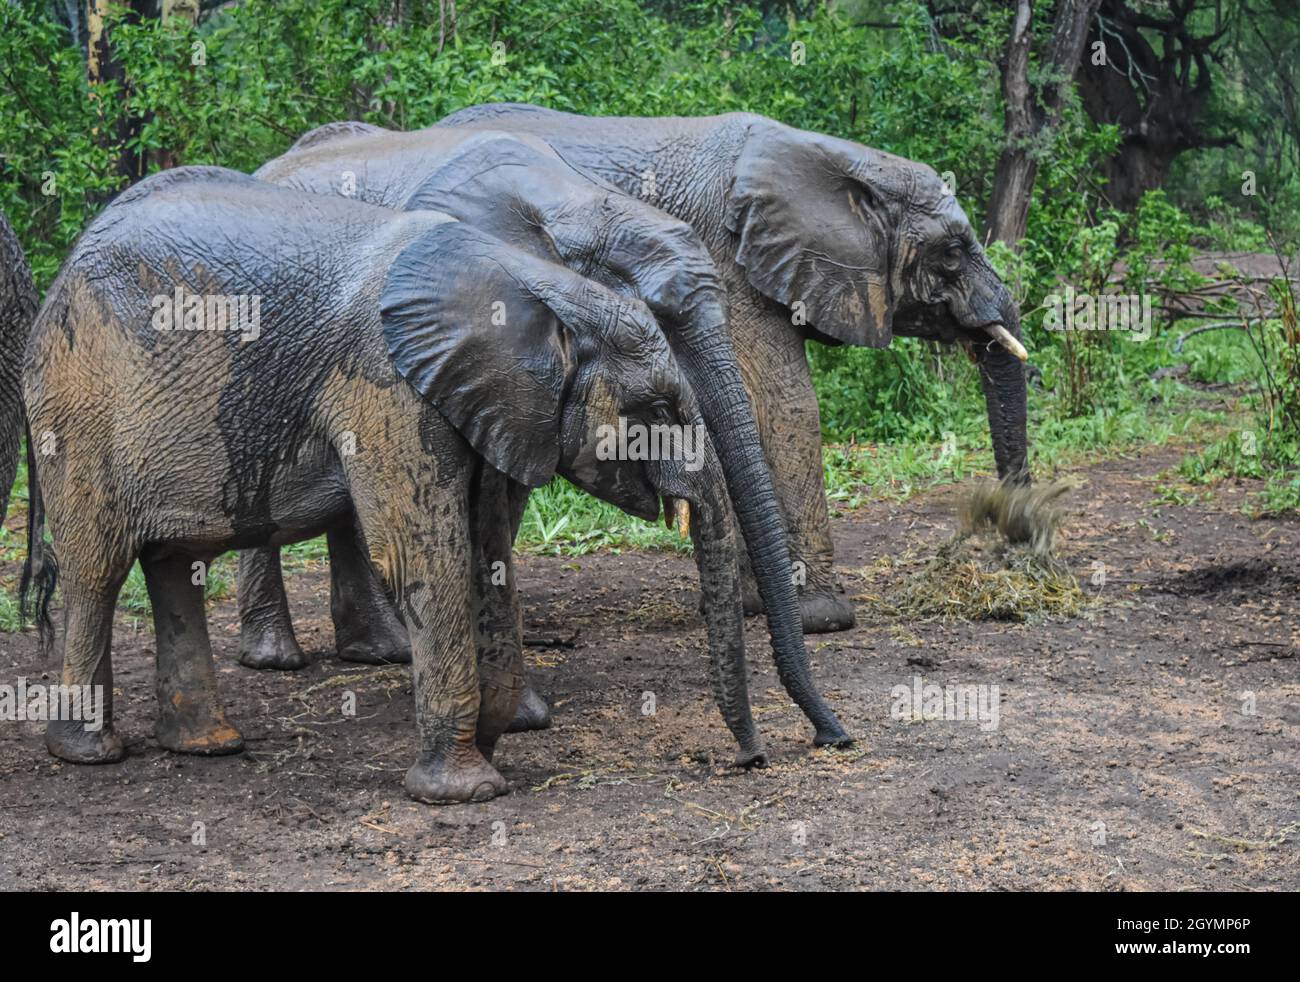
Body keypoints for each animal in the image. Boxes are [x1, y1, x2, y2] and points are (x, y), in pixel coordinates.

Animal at [436, 103, 1024, 634]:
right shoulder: (729, 262)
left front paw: (755, 606)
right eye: (952, 253)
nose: (1010, 537)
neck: (835, 157)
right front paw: (822, 619)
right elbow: (784, 405)